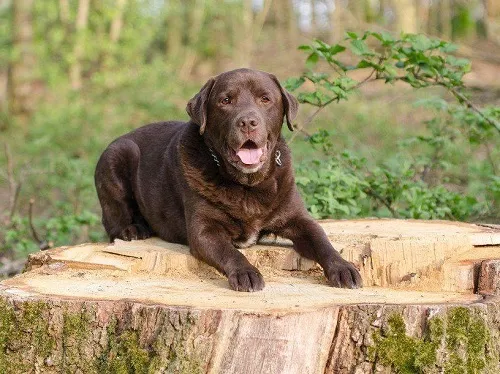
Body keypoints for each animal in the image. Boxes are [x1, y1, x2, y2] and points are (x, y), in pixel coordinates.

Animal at [94, 69, 362, 292]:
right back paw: (133, 229)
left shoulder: (299, 219)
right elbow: (229, 252)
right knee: (113, 221)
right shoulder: (204, 230)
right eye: (225, 101)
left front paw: (344, 268)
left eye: (265, 99)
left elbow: (322, 240)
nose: (248, 122)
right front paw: (246, 273)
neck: (248, 184)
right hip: (118, 153)